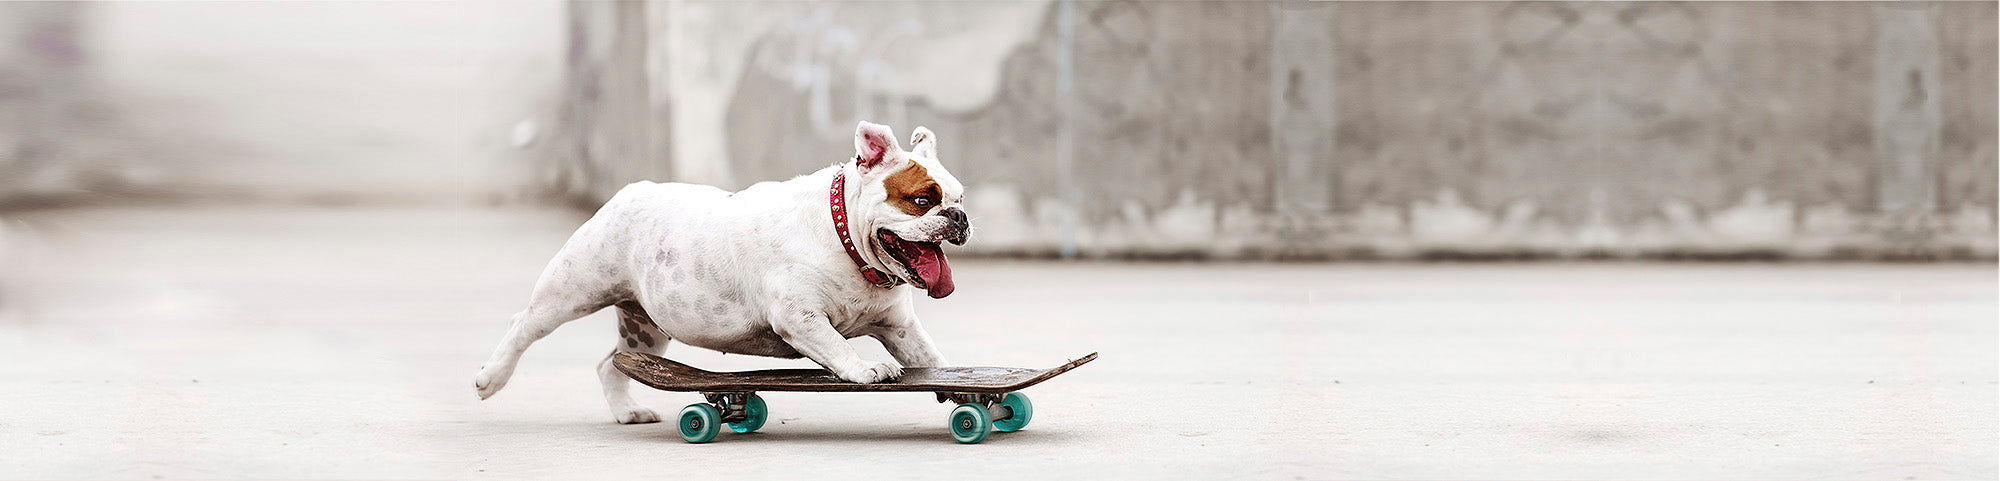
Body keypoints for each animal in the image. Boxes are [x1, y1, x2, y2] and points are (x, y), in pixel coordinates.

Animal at [470, 121, 968, 424]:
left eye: (959, 197)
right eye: (922, 199)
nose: (959, 217)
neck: (844, 238)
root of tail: (629, 192)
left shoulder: (900, 329)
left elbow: (933, 359)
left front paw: (961, 387)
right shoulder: (801, 318)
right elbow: (837, 345)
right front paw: (865, 369)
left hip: (645, 330)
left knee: (612, 363)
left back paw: (627, 412)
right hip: (570, 293)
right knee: (523, 326)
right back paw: (490, 379)